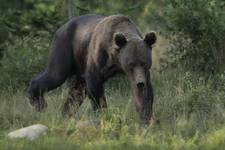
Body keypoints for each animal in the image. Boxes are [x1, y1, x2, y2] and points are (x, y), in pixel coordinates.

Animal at [26, 14, 156, 124]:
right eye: (131, 64)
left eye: (144, 63)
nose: (140, 82)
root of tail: (62, 27)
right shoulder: (99, 57)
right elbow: (95, 86)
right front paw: (104, 114)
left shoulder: (141, 73)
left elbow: (144, 94)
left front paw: (145, 118)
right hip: (65, 47)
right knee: (56, 75)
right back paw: (39, 102)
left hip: (79, 64)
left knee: (76, 92)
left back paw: (65, 114)